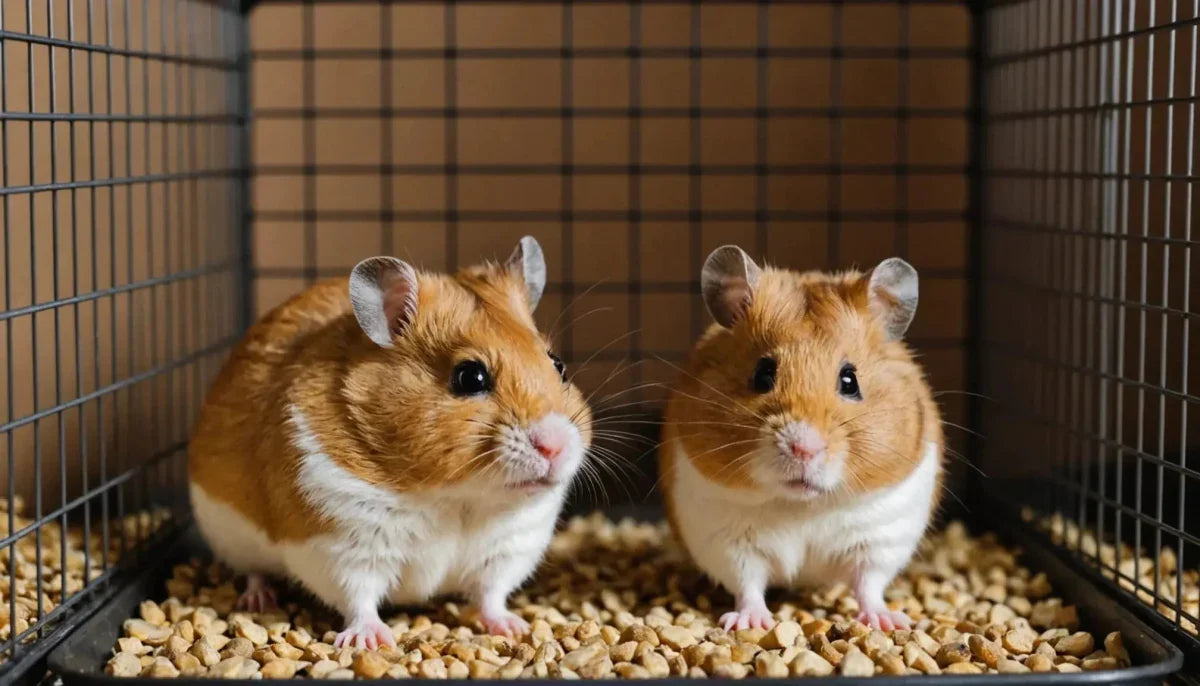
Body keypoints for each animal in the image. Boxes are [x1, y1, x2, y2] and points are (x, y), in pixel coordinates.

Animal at [188, 237, 592, 648]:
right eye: (470, 377)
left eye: (558, 365)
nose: (555, 446)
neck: (457, 497)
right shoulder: (341, 547)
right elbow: (359, 598)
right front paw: (372, 641)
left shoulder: (509, 548)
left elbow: (491, 595)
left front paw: (516, 628)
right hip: (234, 539)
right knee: (253, 571)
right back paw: (257, 600)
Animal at [658, 245, 943, 633]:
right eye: (763, 374)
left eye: (850, 380)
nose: (804, 448)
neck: (801, 506)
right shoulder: (727, 539)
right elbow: (747, 583)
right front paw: (750, 623)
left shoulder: (880, 536)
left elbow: (869, 583)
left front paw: (887, 622)